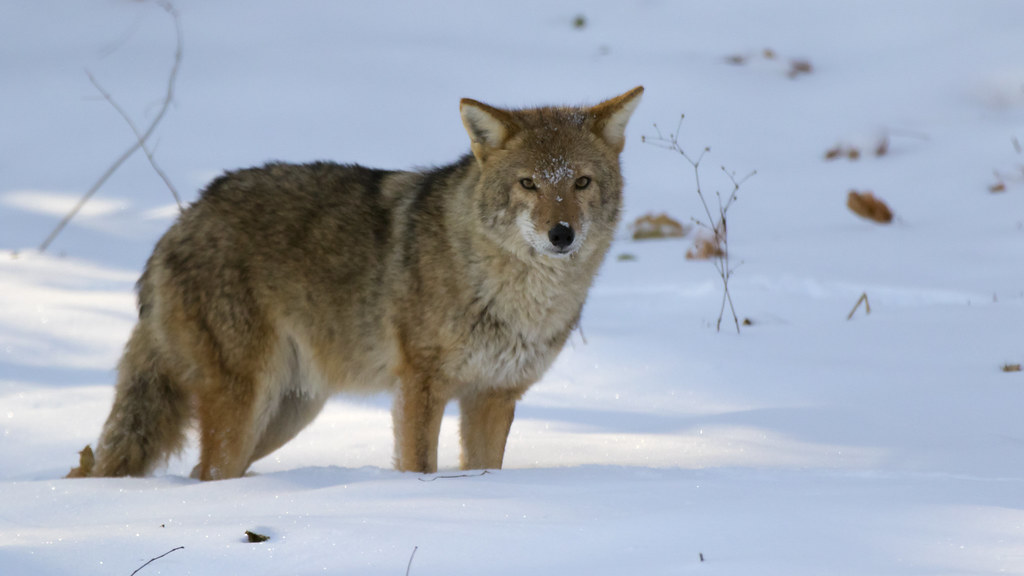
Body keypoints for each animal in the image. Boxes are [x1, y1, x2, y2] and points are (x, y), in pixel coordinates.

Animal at [67, 86, 643, 480]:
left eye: (581, 183)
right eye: (528, 184)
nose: (561, 233)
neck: (515, 295)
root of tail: (179, 223)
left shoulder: (493, 396)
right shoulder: (421, 386)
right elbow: (419, 466)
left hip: (288, 413)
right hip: (247, 402)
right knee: (207, 473)